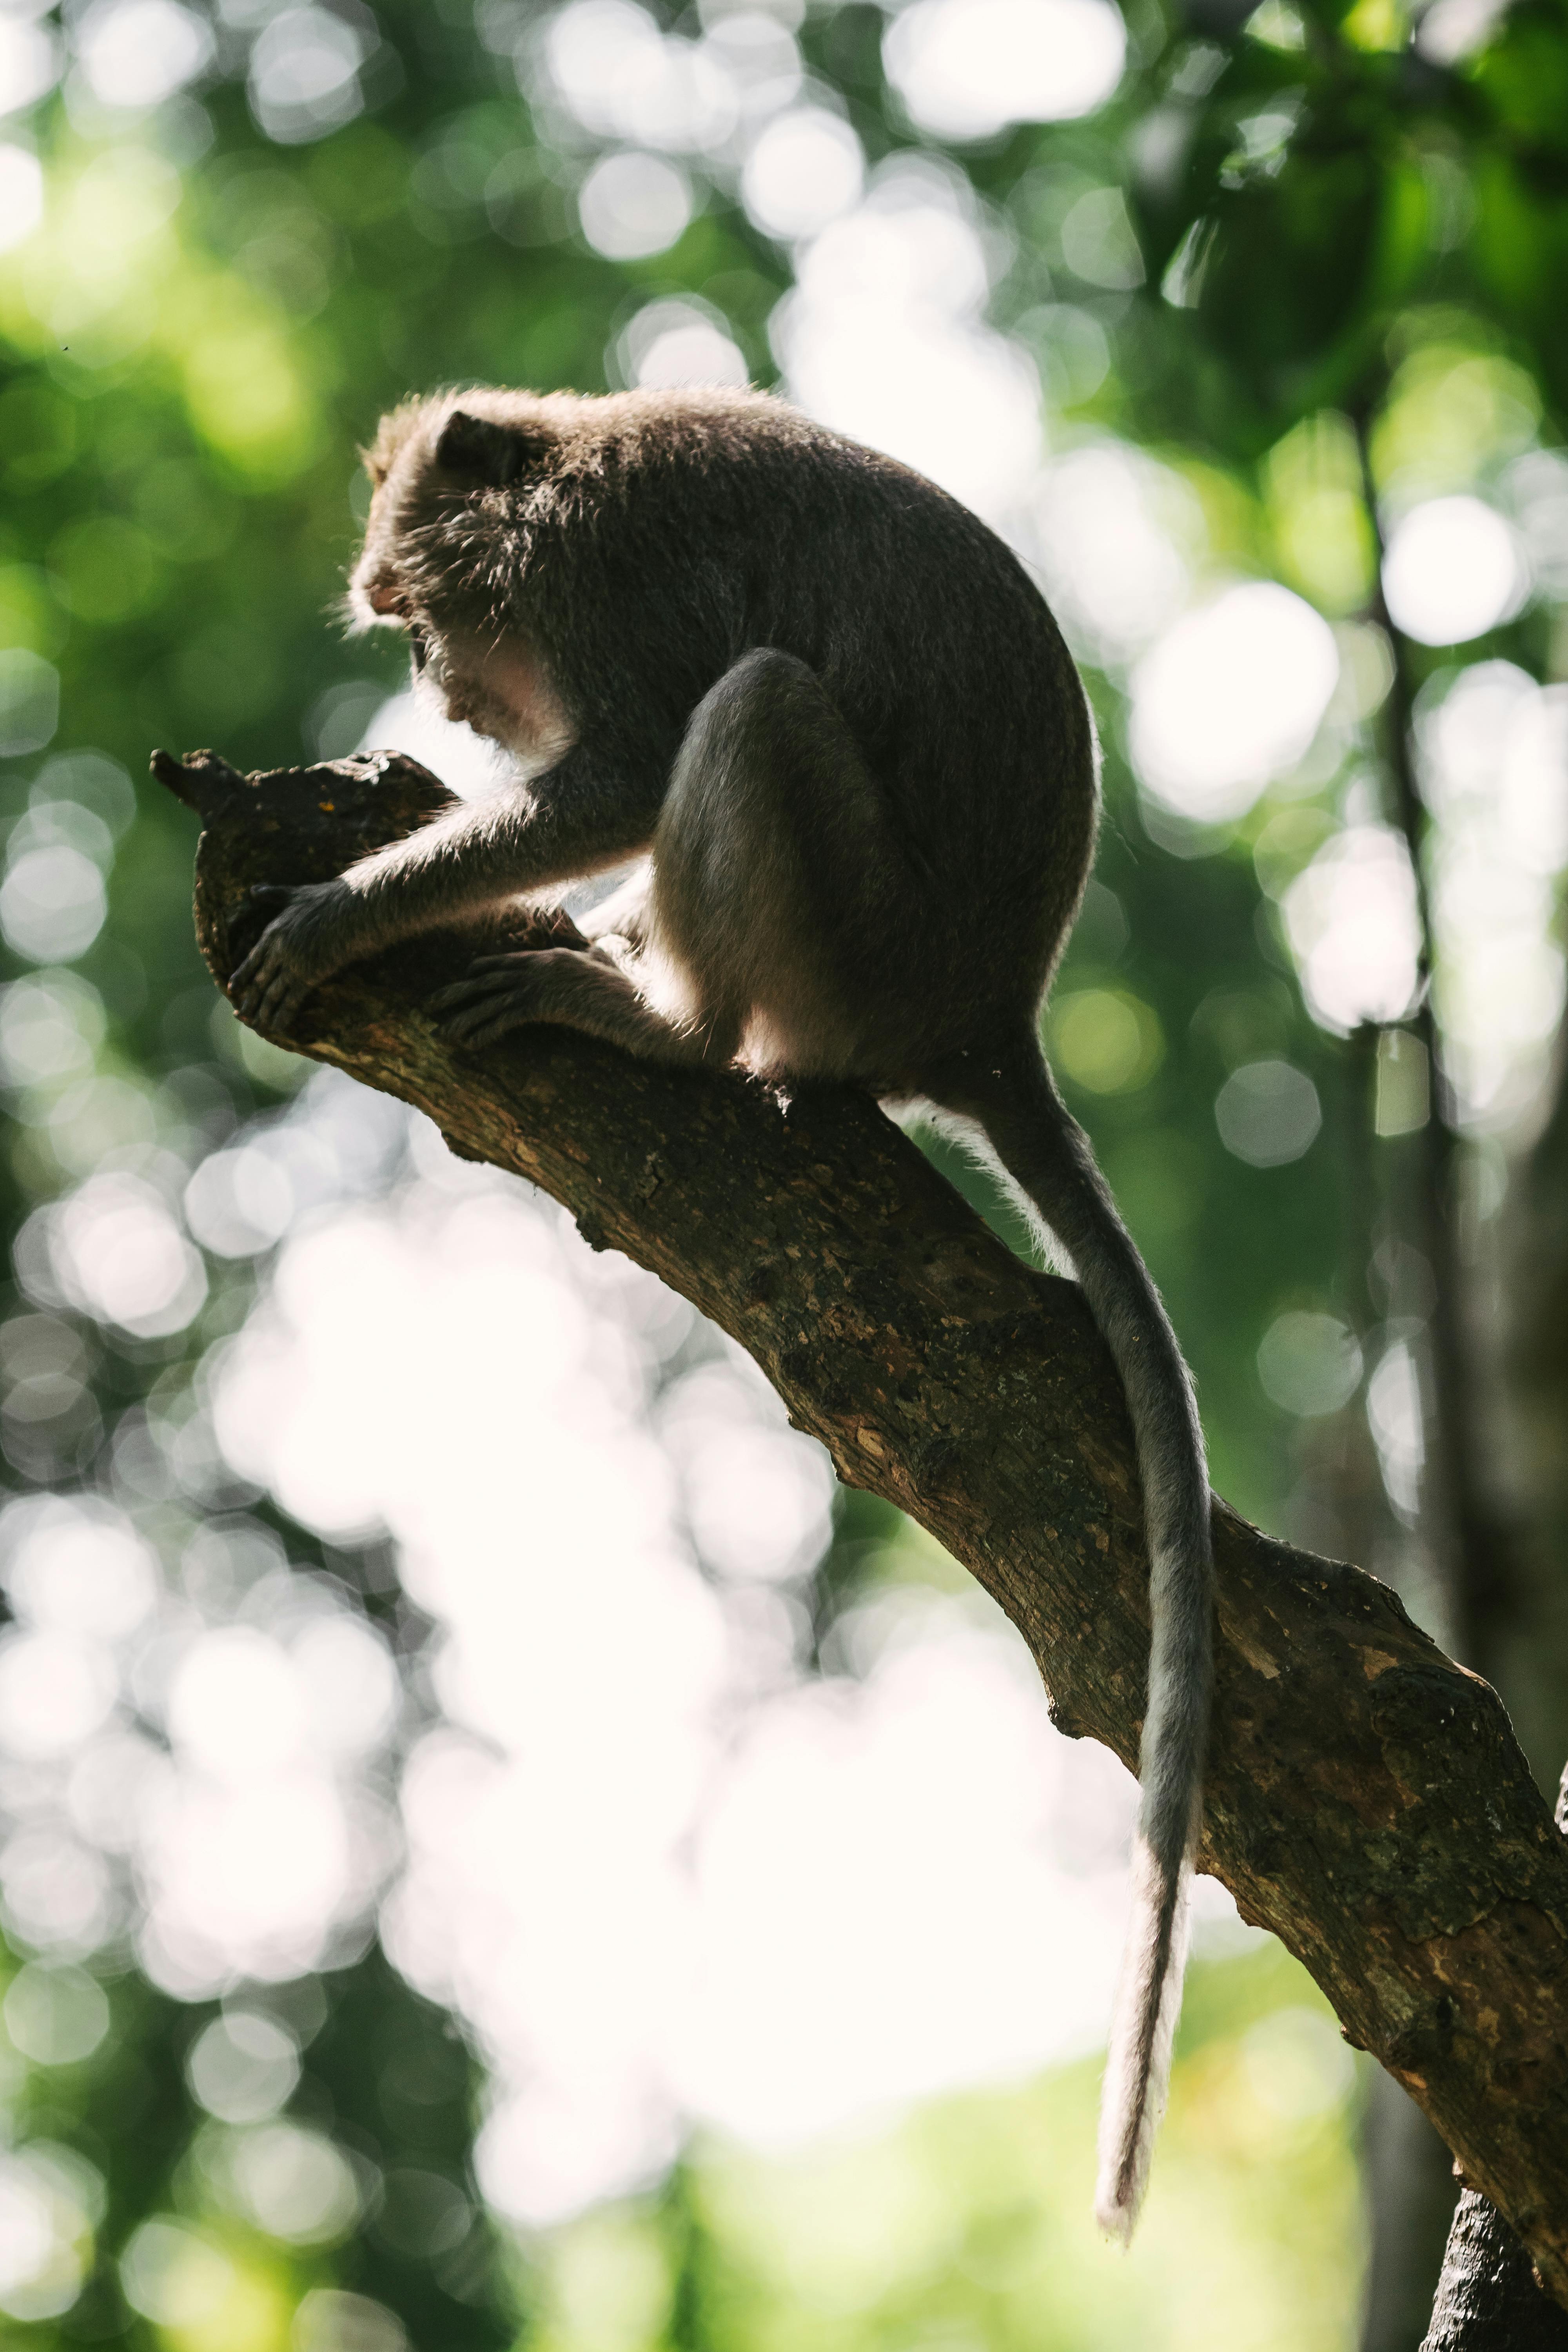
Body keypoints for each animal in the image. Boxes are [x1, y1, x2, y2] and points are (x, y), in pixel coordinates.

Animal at [231, 384, 1214, 2241]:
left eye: (411, 616)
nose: (443, 698)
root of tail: (984, 1022)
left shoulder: (602, 586)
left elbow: (623, 769)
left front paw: (342, 903)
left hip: (854, 944)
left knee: (752, 709)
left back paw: (670, 1025)